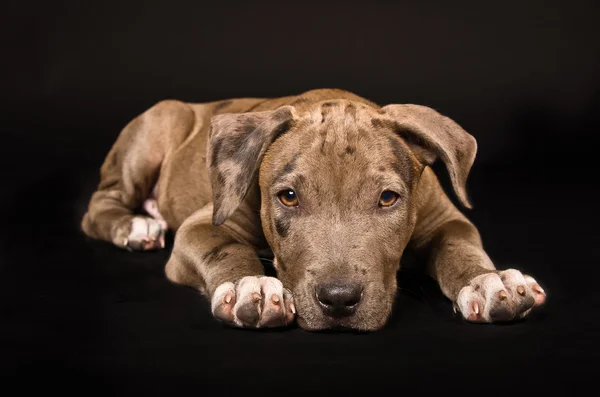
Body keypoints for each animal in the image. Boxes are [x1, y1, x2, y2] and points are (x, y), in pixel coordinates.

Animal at [82, 88, 548, 330]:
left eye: (388, 198)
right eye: (288, 196)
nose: (339, 300)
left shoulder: (448, 220)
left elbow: (459, 248)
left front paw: (490, 282)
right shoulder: (201, 226)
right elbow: (226, 249)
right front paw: (251, 286)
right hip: (155, 130)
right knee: (99, 205)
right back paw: (136, 226)